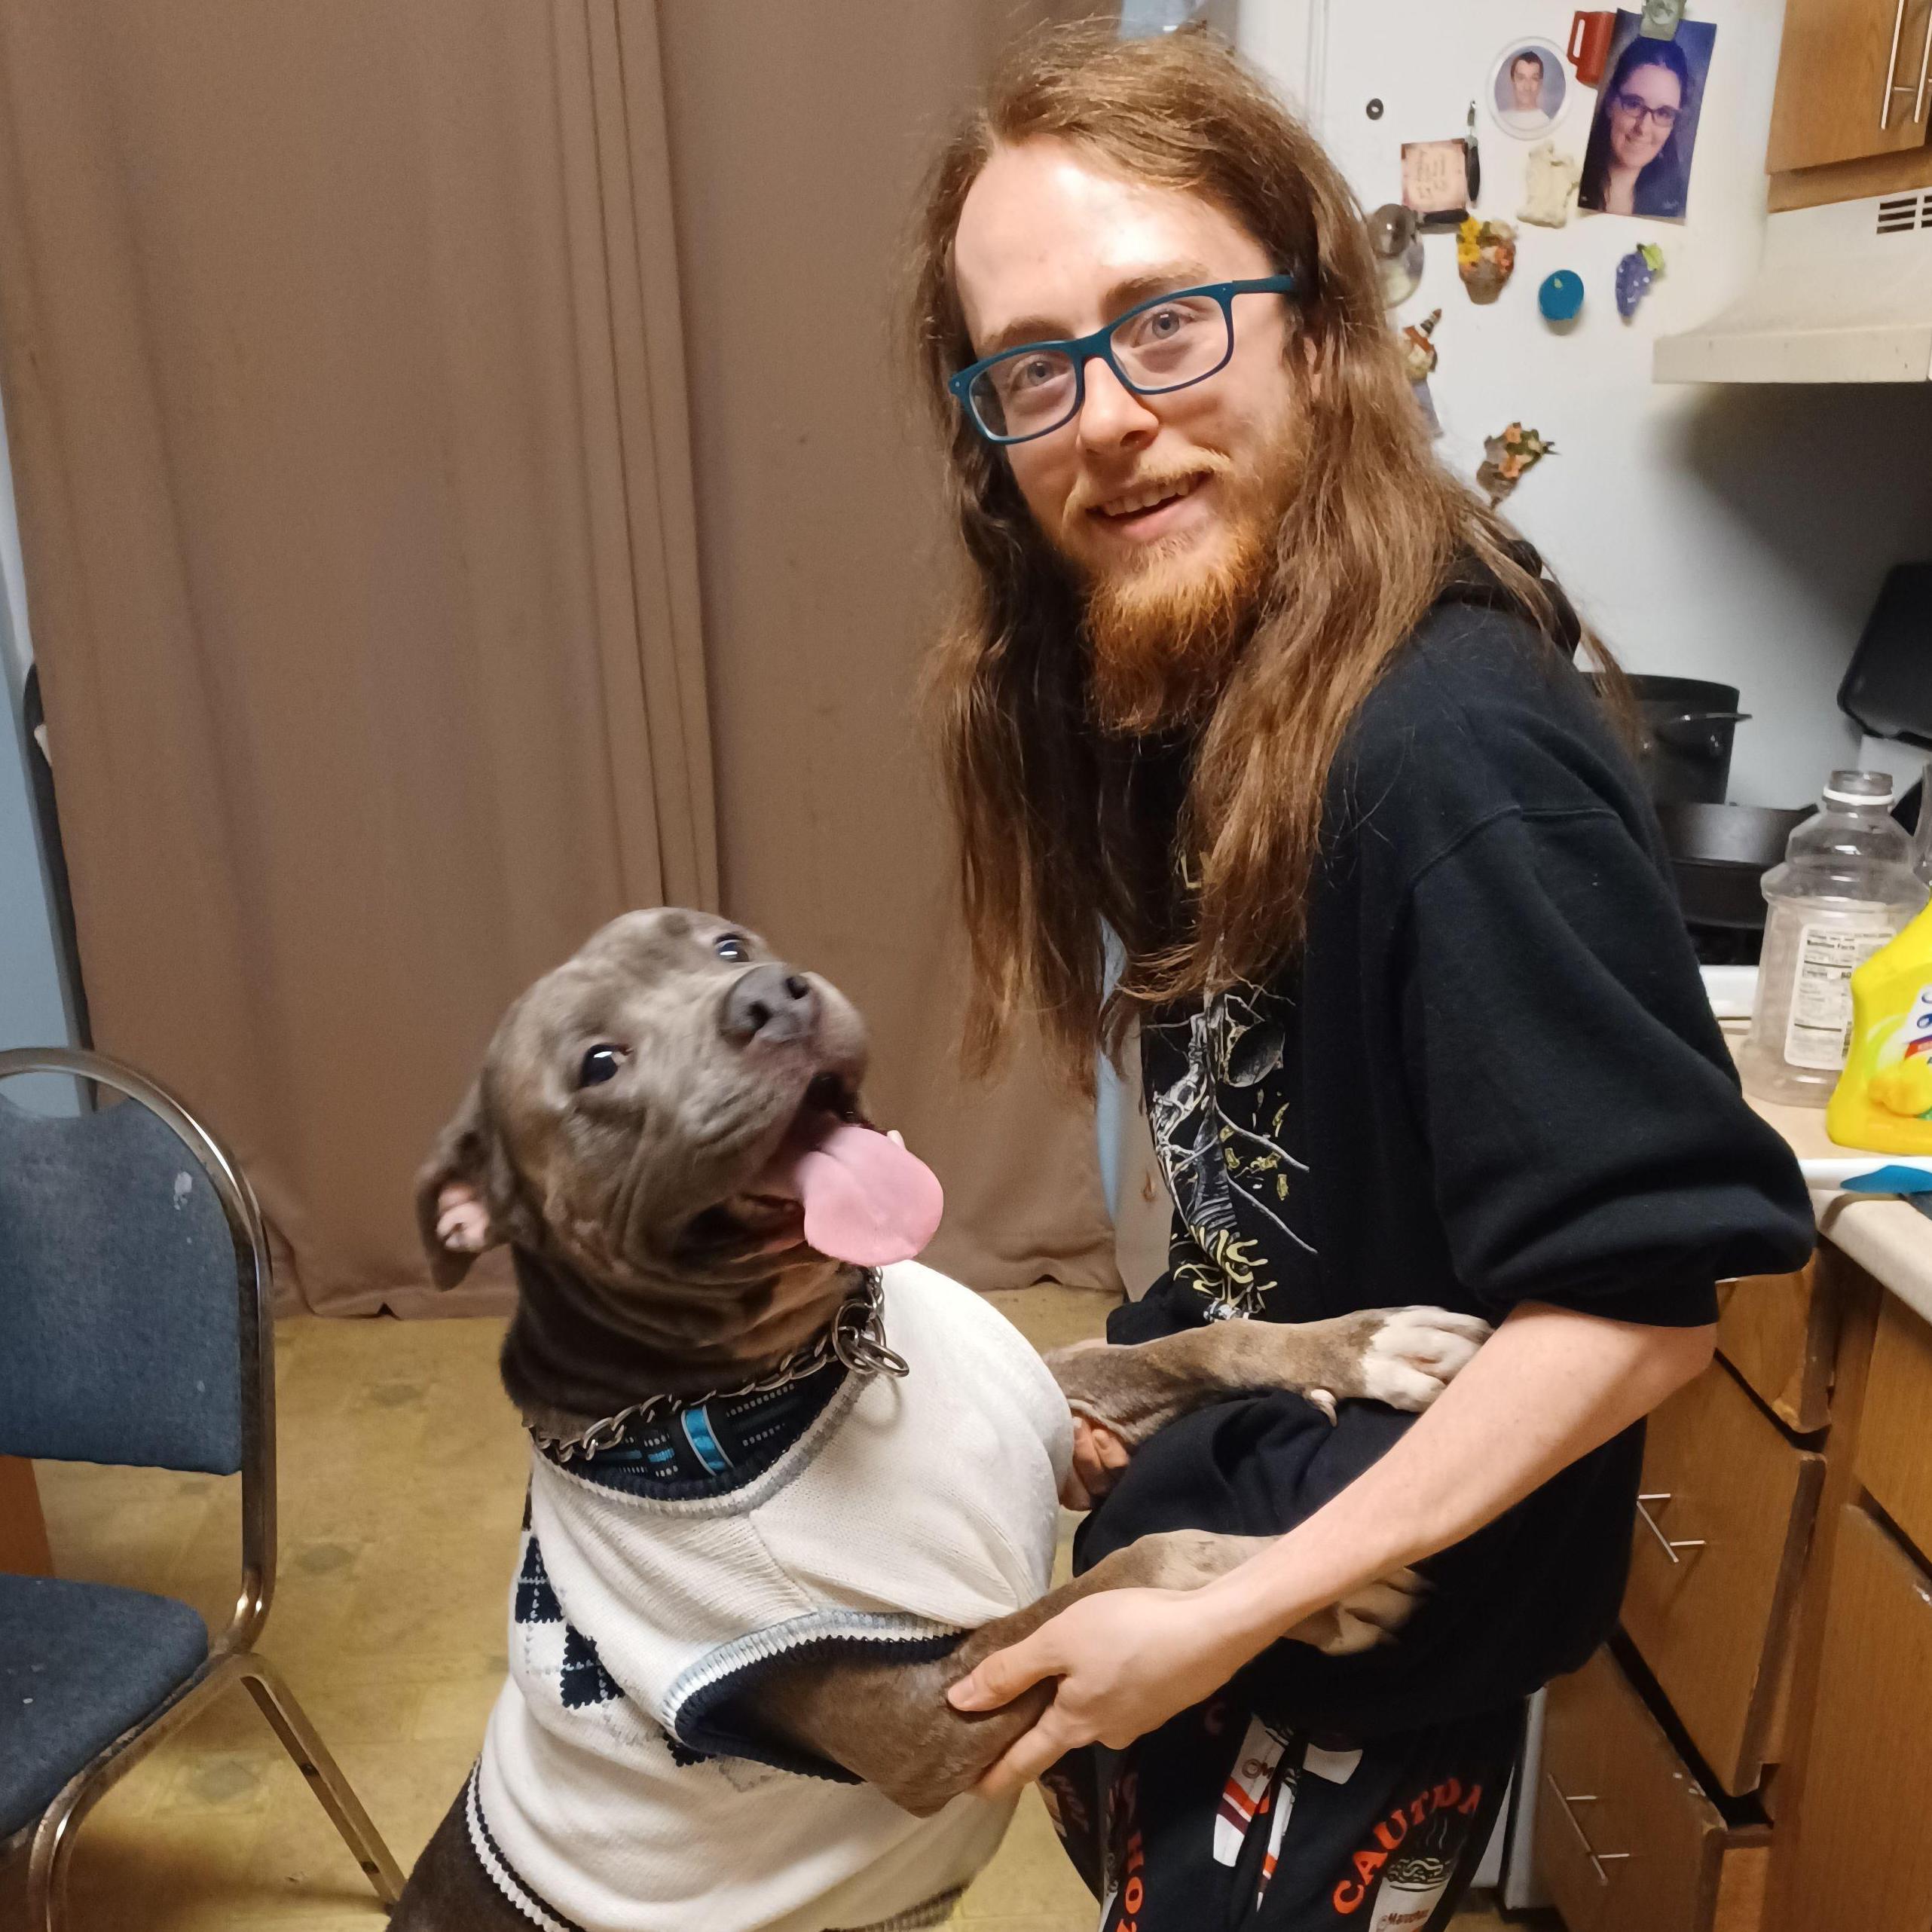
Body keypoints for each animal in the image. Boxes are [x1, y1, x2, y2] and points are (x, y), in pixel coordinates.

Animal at [384, 908, 1484, 1932]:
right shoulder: (929, 1717)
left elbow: (1199, 1347)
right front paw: (1326, 1580)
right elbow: (1137, 1568)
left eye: (727, 945)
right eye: (598, 1063)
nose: (771, 1000)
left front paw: (1369, 1346)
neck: (811, 1366)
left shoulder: (1054, 1385)